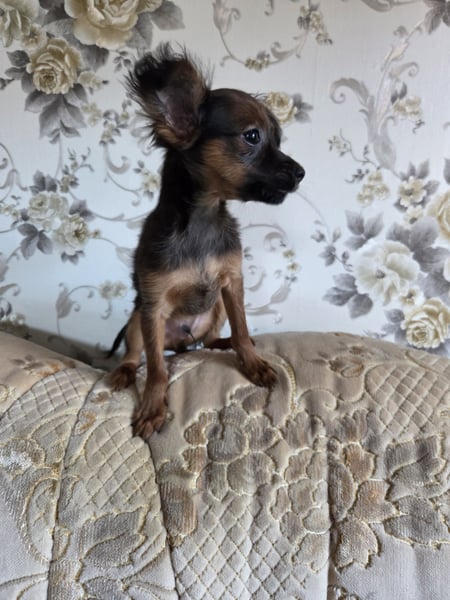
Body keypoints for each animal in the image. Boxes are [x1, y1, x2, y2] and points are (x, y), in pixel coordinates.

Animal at [109, 44, 305, 439]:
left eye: (277, 140)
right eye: (252, 137)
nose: (301, 173)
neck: (203, 219)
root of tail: (182, 343)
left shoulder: (232, 282)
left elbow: (242, 328)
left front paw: (252, 362)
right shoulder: (152, 305)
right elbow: (156, 367)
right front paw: (153, 406)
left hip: (214, 310)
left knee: (211, 340)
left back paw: (223, 343)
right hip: (138, 318)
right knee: (138, 353)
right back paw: (123, 371)